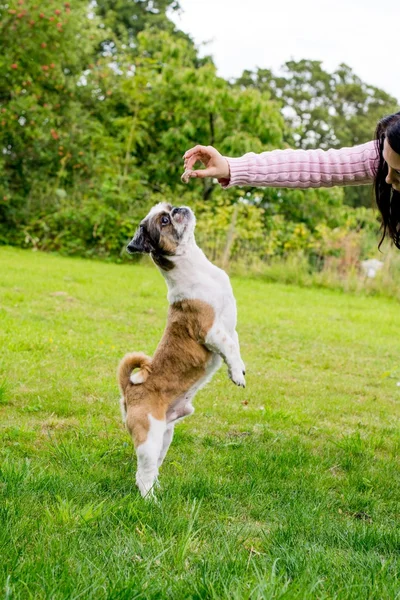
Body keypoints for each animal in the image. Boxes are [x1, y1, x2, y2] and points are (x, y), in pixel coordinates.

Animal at [117, 202, 245, 496]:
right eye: (164, 220)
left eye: (167, 208)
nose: (178, 207)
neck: (197, 267)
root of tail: (129, 388)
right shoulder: (212, 331)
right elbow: (228, 348)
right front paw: (237, 374)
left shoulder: (229, 330)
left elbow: (235, 345)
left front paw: (239, 367)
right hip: (149, 439)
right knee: (143, 475)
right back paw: (150, 499)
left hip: (165, 436)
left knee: (154, 469)